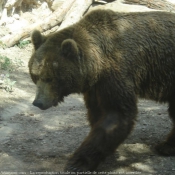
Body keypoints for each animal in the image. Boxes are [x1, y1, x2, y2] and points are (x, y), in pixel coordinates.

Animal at [28, 8, 175, 172]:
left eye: (50, 78)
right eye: (35, 75)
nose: (38, 102)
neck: (97, 63)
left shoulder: (116, 73)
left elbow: (117, 115)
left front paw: (78, 163)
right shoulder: (95, 86)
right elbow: (97, 113)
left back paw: (165, 146)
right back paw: (167, 146)